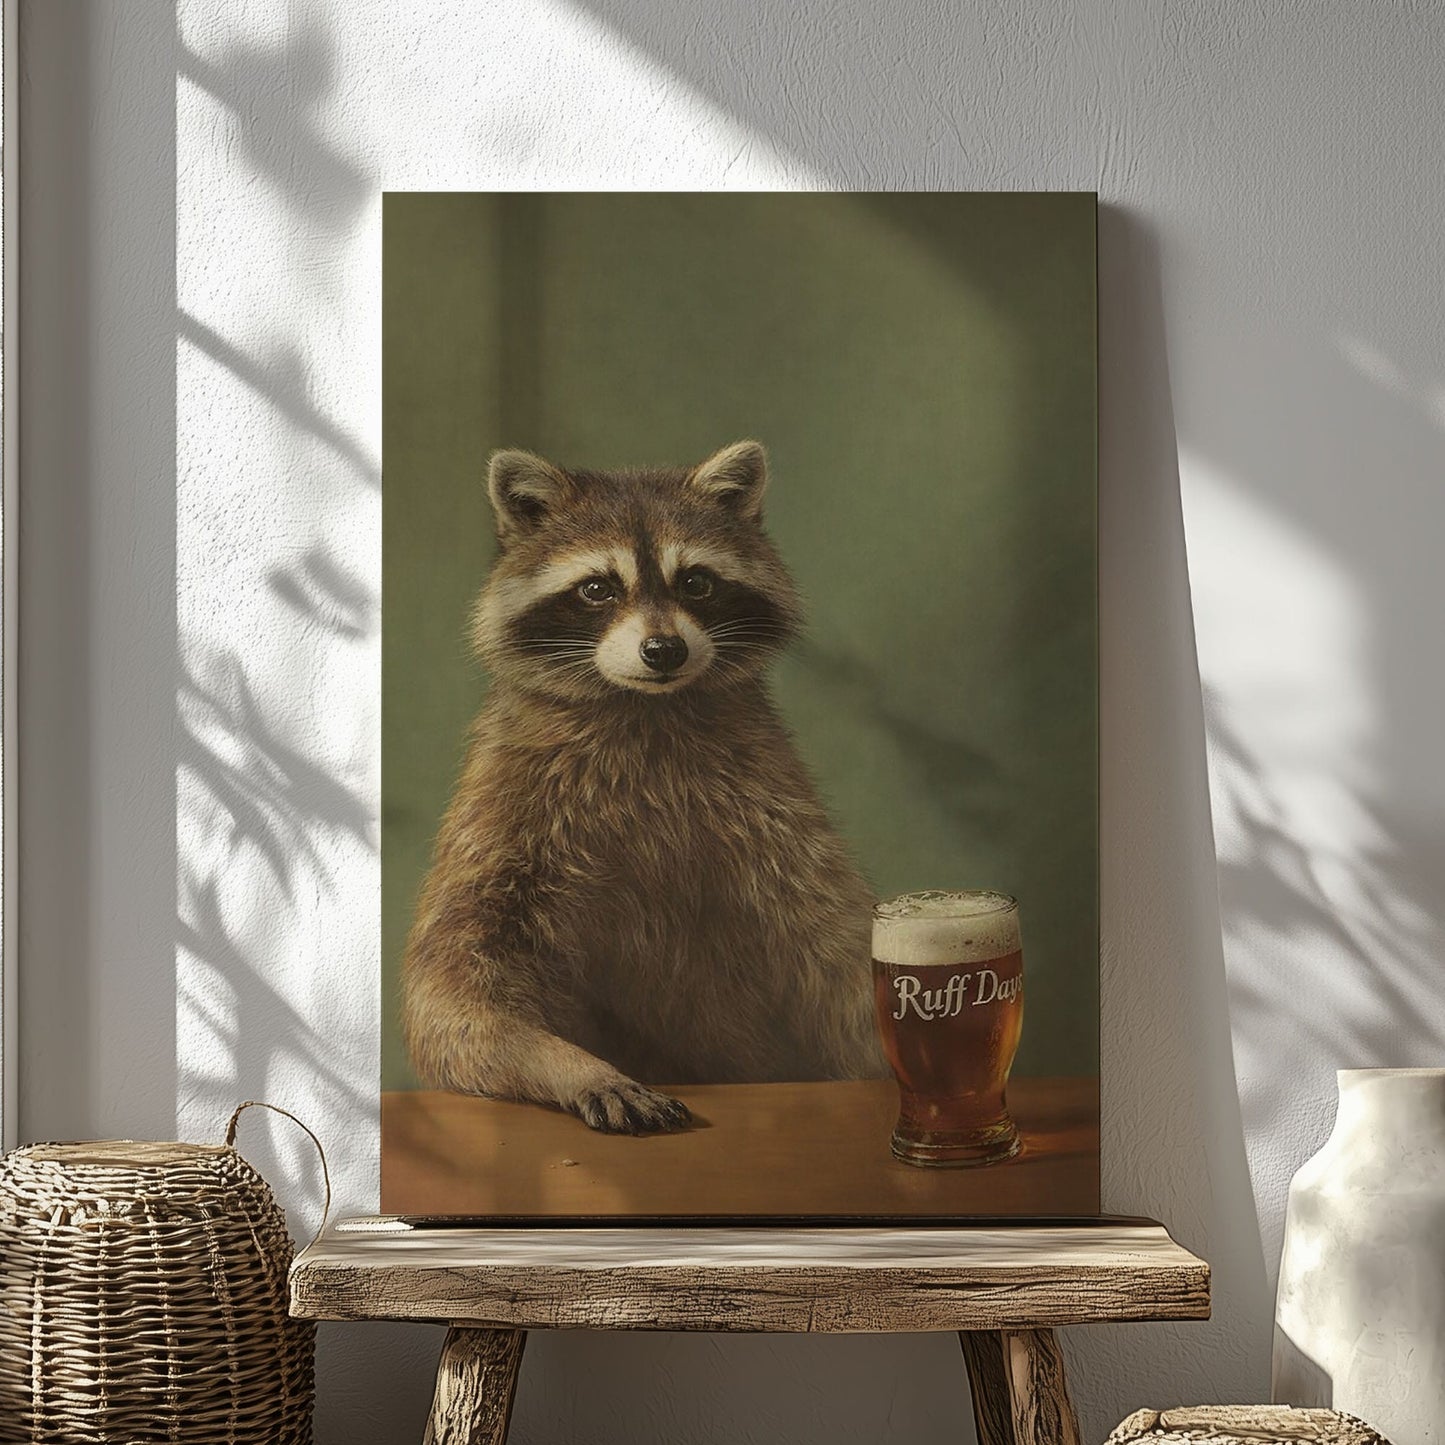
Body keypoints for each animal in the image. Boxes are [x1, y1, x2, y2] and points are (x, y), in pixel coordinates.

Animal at [401, 440, 886, 1134]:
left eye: (696, 582)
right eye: (598, 589)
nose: (664, 650)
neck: (645, 707)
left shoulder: (777, 810)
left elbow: (839, 953)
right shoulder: (502, 809)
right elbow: (451, 995)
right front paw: (574, 1065)